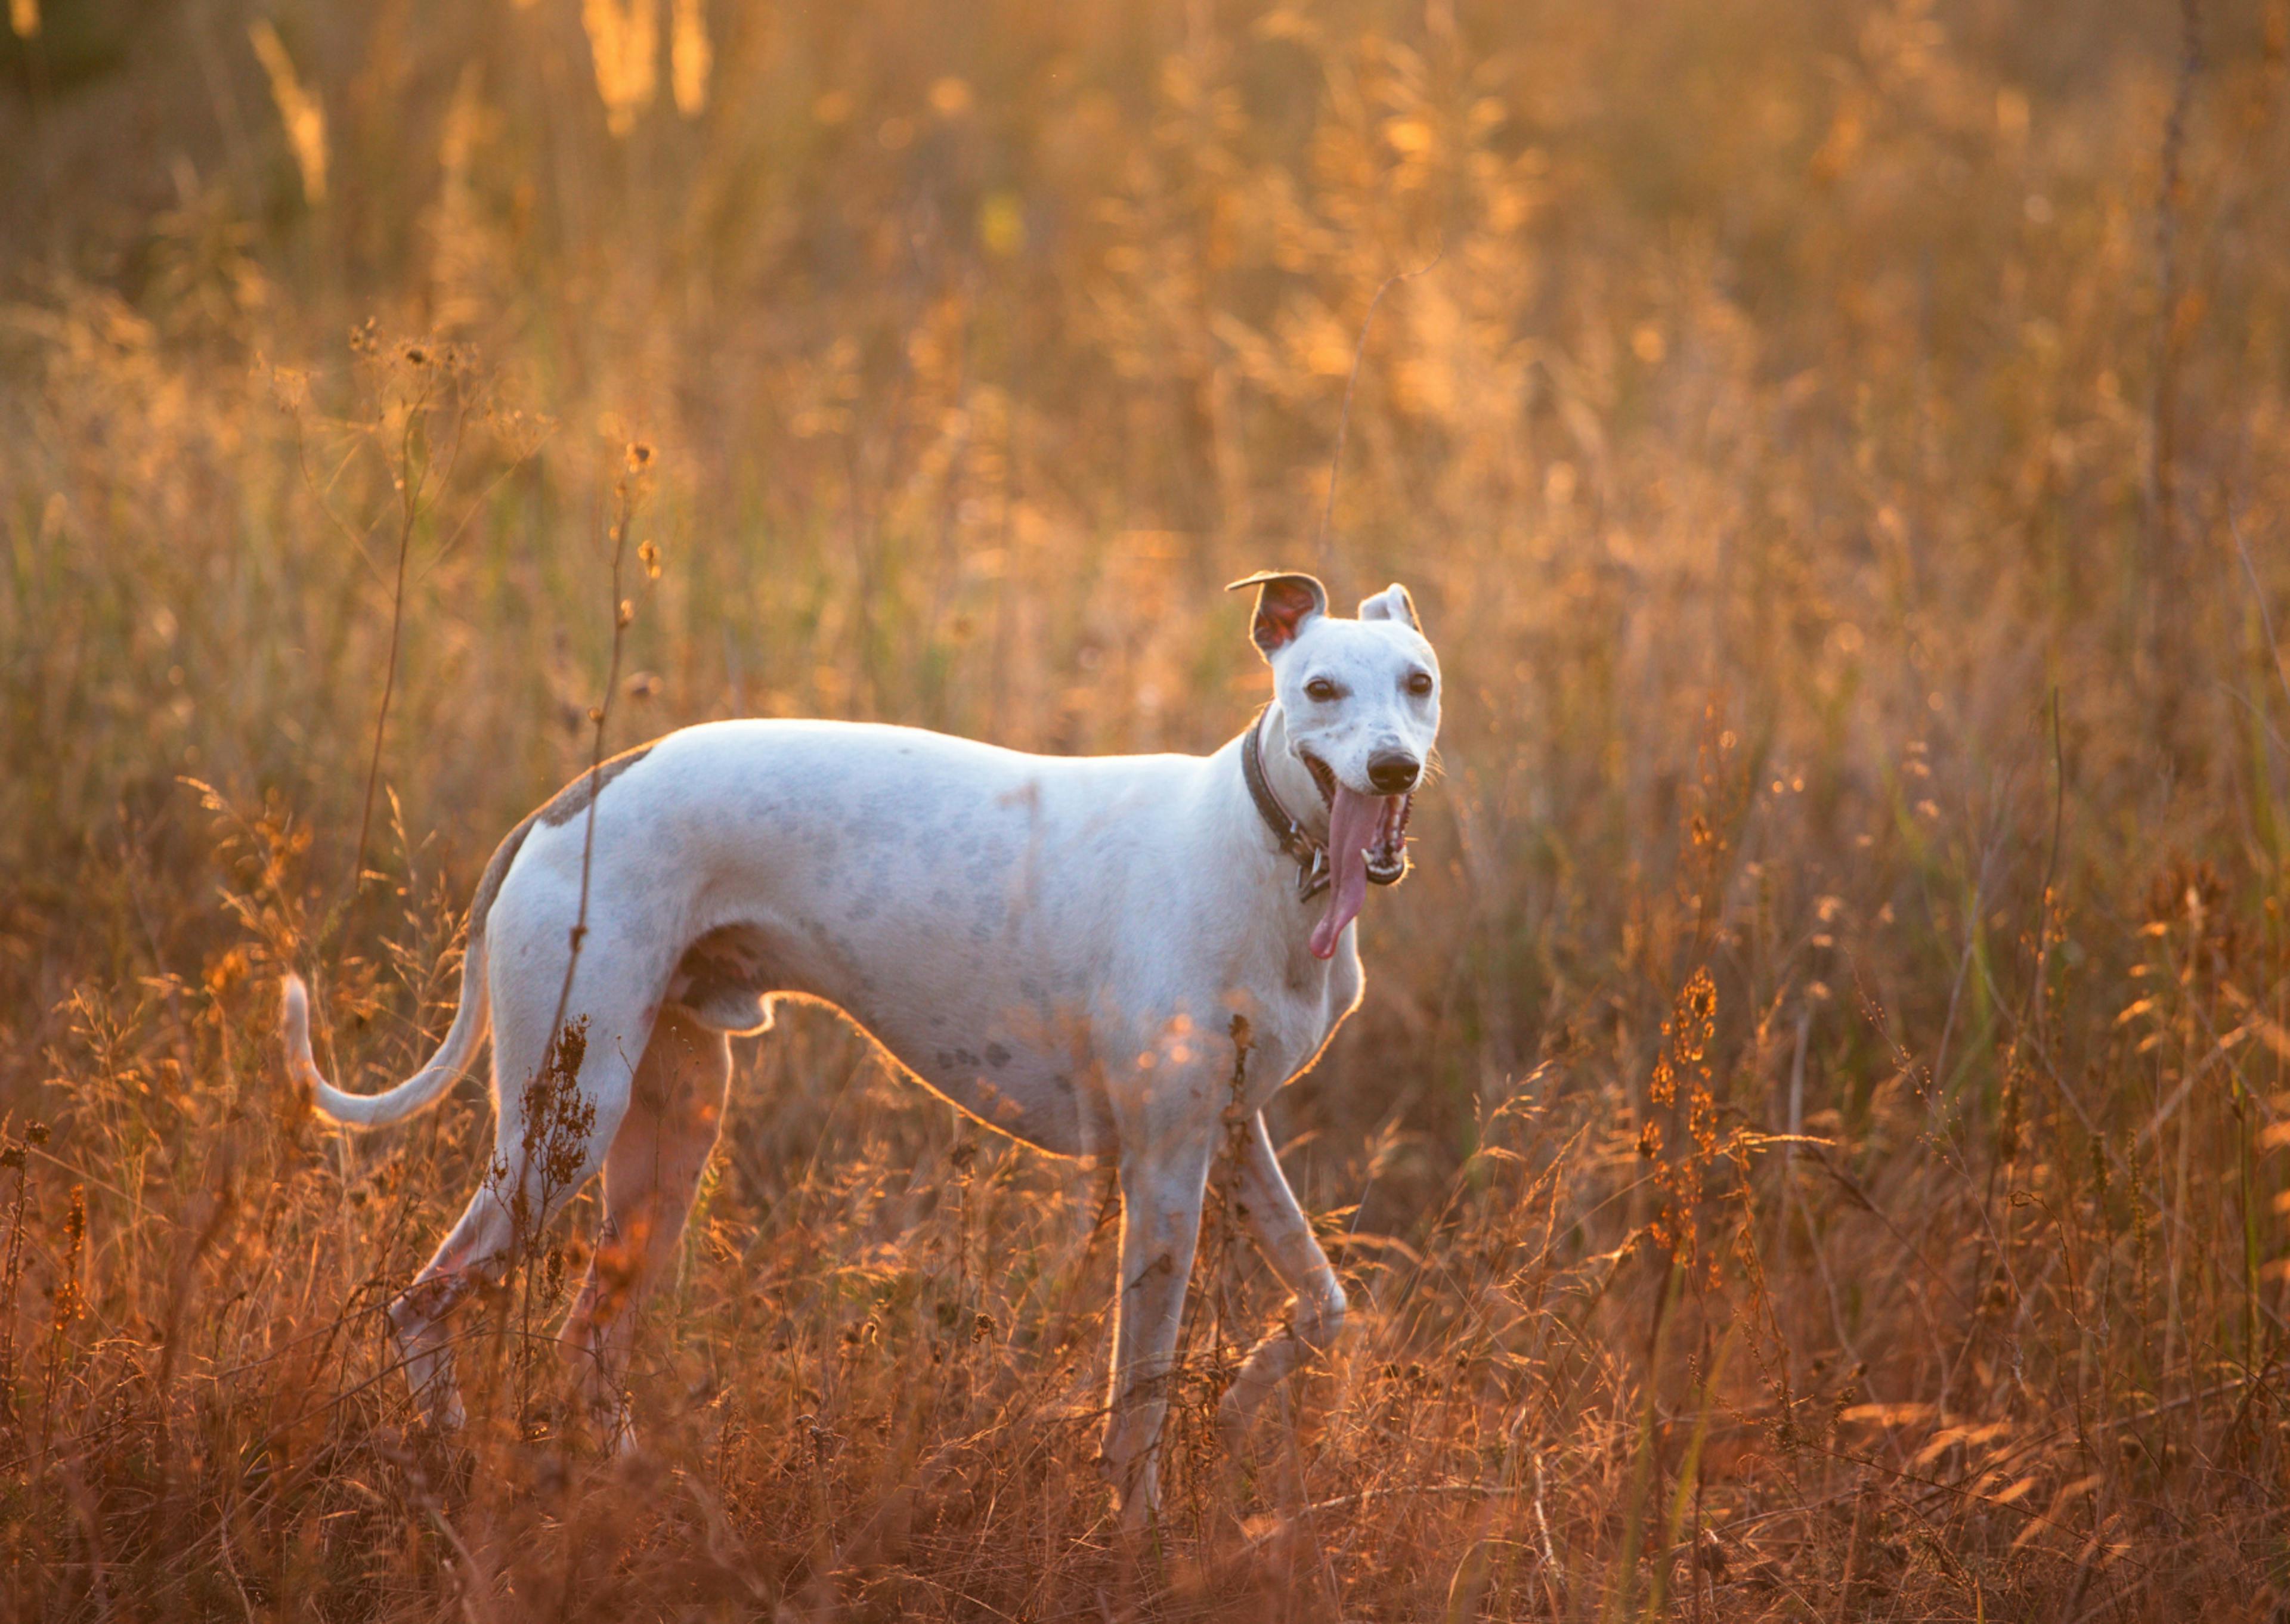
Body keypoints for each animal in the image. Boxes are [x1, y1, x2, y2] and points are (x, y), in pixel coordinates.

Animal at [281, 570, 1429, 1521]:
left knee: (587, 1336)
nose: (1393, 764)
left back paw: (647, 1493)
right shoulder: (1162, 1169)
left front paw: (1242, 1402)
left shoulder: (1228, 1135)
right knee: (422, 1302)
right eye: (1320, 688)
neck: (1261, 843)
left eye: (1418, 682)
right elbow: (1139, 1390)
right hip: (561, 1131)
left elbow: (1325, 1302)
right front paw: (1139, 1531)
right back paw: (453, 1458)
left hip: (668, 1129)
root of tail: (571, 800)